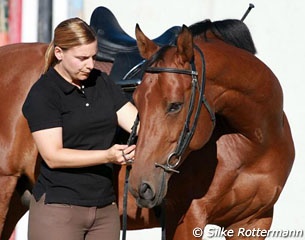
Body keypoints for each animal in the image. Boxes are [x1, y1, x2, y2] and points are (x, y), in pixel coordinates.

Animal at [128, 19, 294, 239]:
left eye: (175, 105)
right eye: (136, 101)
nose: (140, 186)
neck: (256, 143)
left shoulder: (254, 221)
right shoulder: (187, 218)